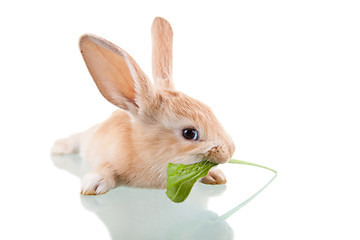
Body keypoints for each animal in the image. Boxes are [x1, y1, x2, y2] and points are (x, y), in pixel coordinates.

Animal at [51, 16, 236, 195]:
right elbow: (107, 168)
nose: (229, 151)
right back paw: (58, 147)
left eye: (209, 109)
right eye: (190, 133)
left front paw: (215, 176)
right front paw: (93, 184)